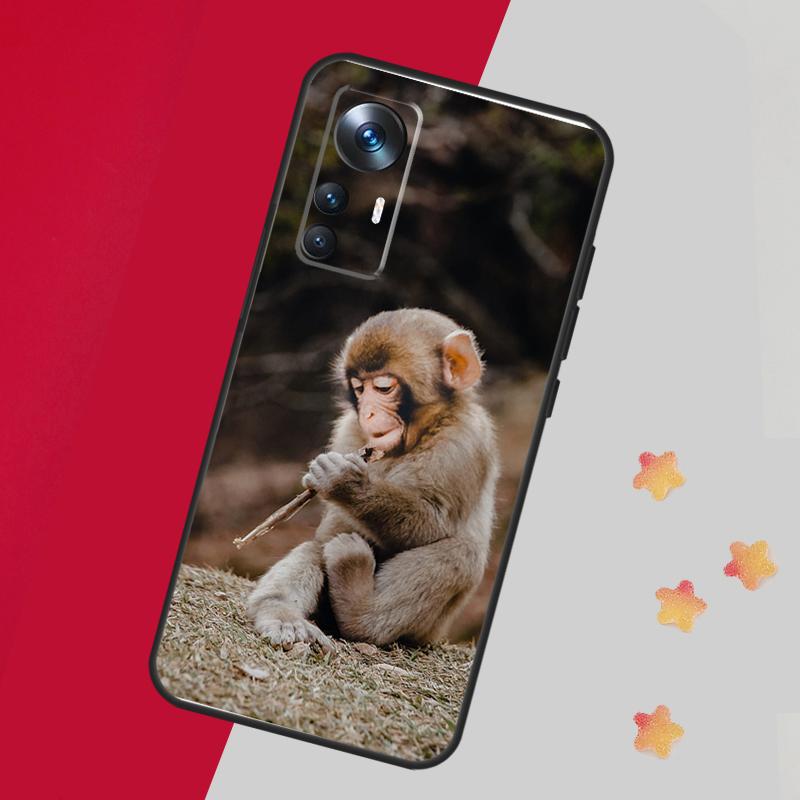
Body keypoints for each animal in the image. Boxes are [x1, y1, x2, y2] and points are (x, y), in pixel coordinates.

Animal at [246, 308, 499, 650]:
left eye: (382, 388)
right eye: (358, 389)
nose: (367, 412)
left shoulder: (465, 441)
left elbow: (435, 523)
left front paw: (345, 483)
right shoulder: (347, 431)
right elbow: (331, 528)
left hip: (429, 629)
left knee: (461, 552)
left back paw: (360, 612)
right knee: (316, 547)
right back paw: (282, 614)